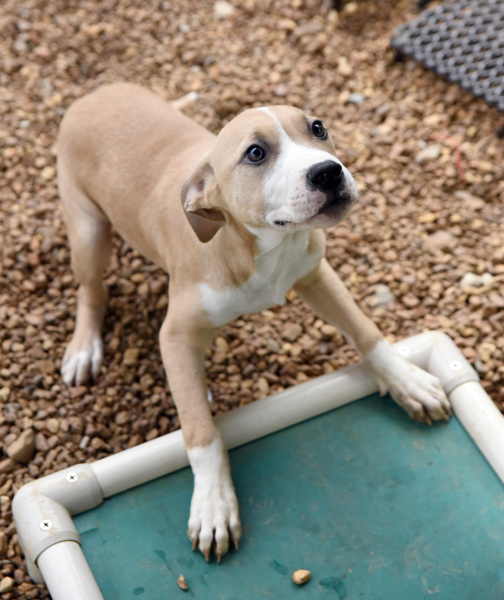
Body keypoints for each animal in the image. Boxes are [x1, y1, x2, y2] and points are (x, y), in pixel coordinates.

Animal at [57, 83, 450, 564]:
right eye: (256, 153)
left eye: (318, 128)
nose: (328, 173)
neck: (261, 248)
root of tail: (97, 91)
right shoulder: (175, 338)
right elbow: (200, 431)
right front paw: (213, 504)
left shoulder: (318, 277)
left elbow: (367, 333)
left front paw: (408, 382)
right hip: (88, 232)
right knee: (91, 289)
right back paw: (84, 348)